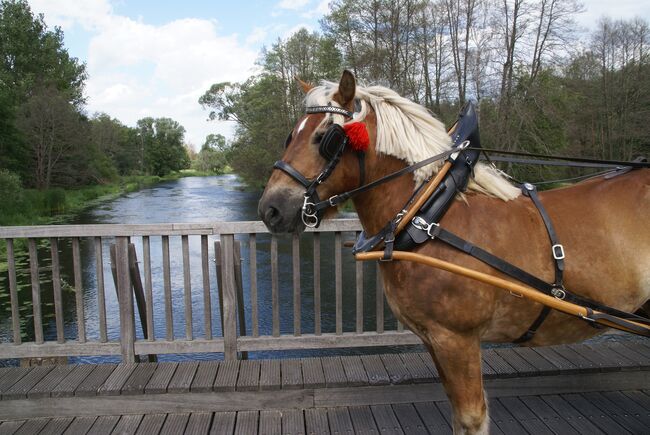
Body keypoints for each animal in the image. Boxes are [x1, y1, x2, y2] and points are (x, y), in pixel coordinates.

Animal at [256, 70, 644, 434]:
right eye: (291, 135)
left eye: (325, 138)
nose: (270, 209)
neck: (429, 214)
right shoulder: (433, 338)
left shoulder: (457, 339)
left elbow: (472, 418)